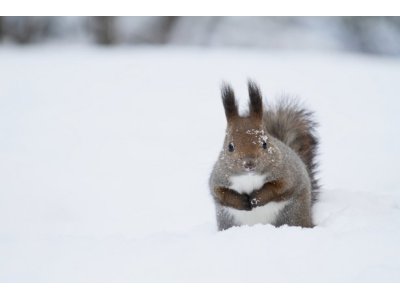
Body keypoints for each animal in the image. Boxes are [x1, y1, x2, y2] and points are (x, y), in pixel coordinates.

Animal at [209, 81, 318, 231]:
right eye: (230, 147)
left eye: (265, 143)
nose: (249, 163)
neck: (249, 177)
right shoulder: (218, 177)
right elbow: (220, 193)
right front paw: (243, 202)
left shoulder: (287, 172)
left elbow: (279, 187)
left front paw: (255, 200)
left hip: (293, 215)